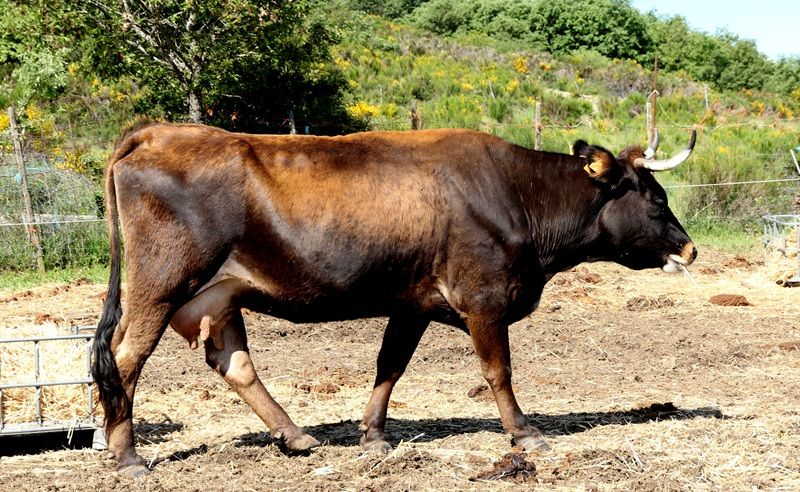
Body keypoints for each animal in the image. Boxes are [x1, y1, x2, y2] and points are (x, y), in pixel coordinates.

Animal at [92, 123, 692, 476]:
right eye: (656, 201)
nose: (689, 248)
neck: (517, 194)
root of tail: (157, 132)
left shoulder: (411, 304)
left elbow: (390, 366)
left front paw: (374, 436)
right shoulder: (484, 299)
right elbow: (498, 371)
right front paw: (524, 433)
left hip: (219, 294)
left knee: (233, 363)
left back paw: (296, 437)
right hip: (160, 286)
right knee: (125, 359)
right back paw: (126, 456)